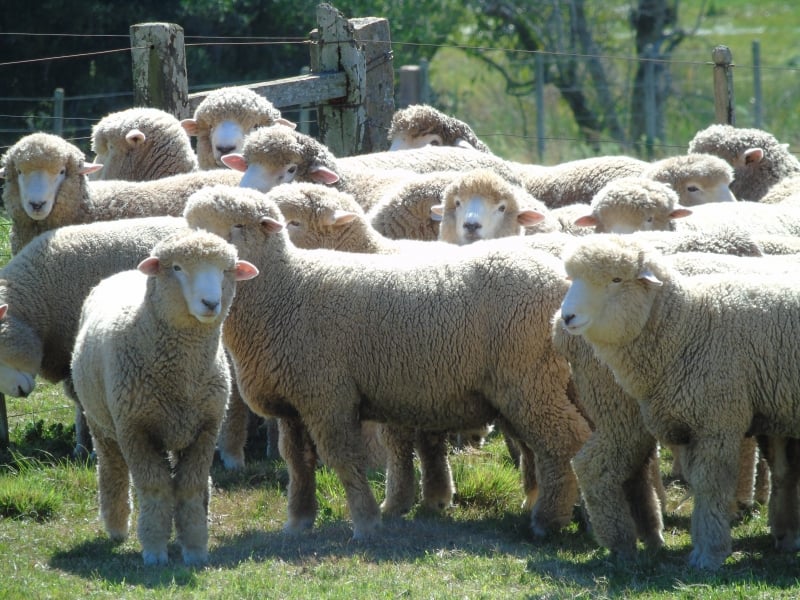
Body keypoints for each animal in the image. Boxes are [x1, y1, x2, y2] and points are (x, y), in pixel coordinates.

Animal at [72, 227, 260, 564]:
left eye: (226, 270)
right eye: (177, 268)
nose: (211, 303)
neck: (182, 375)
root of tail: (123, 273)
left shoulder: (206, 429)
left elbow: (190, 487)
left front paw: (195, 546)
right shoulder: (135, 430)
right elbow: (155, 487)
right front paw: (155, 550)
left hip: (178, 426)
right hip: (101, 423)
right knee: (112, 470)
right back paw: (116, 526)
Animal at [184, 184, 592, 540]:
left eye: (238, 226)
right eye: (191, 224)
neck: (283, 288)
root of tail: (559, 280)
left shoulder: (328, 395)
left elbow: (343, 458)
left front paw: (366, 523)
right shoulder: (294, 403)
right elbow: (297, 463)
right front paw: (298, 521)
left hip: (529, 380)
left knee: (563, 442)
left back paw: (547, 521)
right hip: (554, 383)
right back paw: (575, 516)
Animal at [556, 234, 800, 568]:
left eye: (616, 280)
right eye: (573, 278)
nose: (567, 316)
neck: (688, 324)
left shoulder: (714, 422)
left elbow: (709, 484)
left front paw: (708, 553)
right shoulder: (701, 420)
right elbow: (704, 484)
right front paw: (707, 550)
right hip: (617, 413)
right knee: (595, 465)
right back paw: (624, 543)